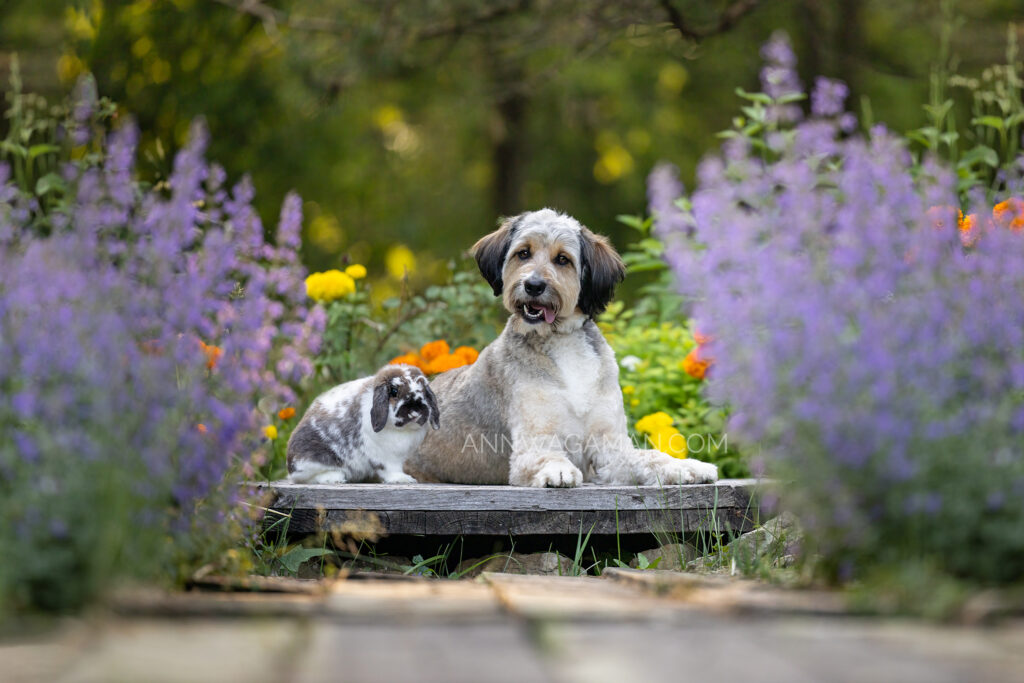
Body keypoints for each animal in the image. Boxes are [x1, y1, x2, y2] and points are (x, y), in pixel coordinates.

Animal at [286, 362, 438, 485]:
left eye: (424, 391)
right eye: (394, 391)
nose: (415, 411)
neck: (402, 430)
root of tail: (290, 464)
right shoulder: (385, 456)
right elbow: (390, 469)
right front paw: (402, 479)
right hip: (313, 462)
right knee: (309, 478)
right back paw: (335, 478)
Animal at [407, 208, 720, 485]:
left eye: (562, 259)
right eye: (523, 253)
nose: (533, 285)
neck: (562, 339)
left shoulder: (609, 446)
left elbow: (650, 457)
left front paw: (686, 467)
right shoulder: (534, 442)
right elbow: (546, 456)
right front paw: (557, 470)